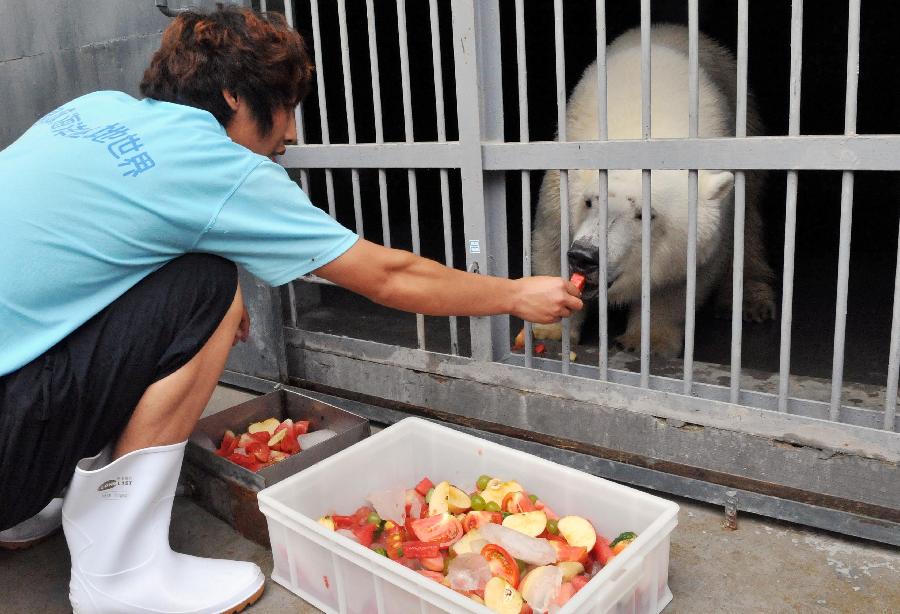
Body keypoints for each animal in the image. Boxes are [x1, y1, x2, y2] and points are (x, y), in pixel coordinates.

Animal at [532, 25, 776, 360]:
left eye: (644, 214)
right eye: (589, 201)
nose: (585, 256)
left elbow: (676, 284)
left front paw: (647, 342)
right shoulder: (559, 193)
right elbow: (551, 245)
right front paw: (552, 328)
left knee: (749, 219)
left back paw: (751, 302)